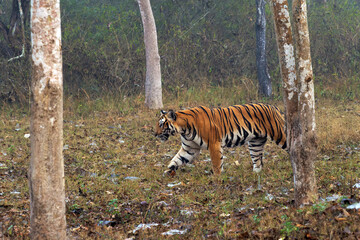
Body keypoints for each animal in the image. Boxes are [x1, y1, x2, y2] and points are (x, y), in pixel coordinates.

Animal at [155, 103, 286, 178]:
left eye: (161, 124)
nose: (155, 134)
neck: (184, 129)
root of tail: (275, 107)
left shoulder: (214, 144)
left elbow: (217, 163)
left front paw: (217, 178)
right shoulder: (190, 149)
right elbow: (176, 160)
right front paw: (168, 172)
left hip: (280, 134)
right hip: (255, 143)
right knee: (258, 162)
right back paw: (255, 174)